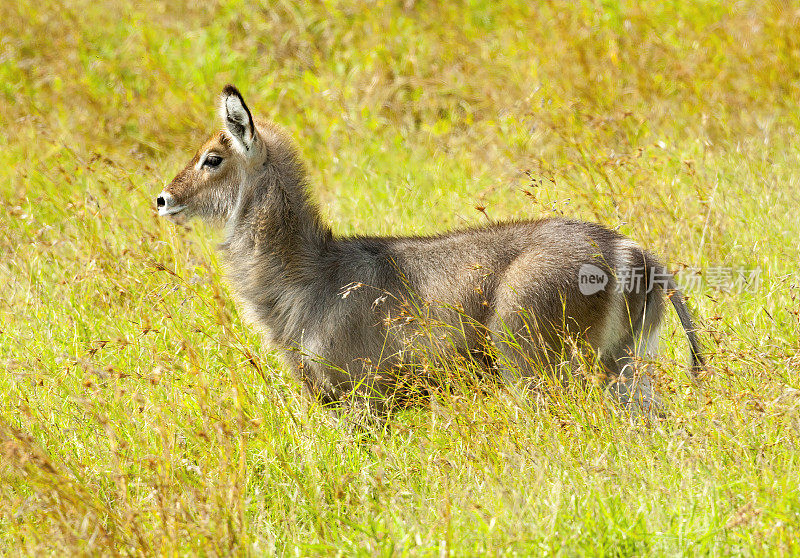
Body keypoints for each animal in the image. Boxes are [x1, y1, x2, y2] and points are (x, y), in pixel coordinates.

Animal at [155, 86, 700, 420]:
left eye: (212, 157)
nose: (161, 199)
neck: (308, 275)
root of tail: (632, 251)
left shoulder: (363, 397)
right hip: (625, 365)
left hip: (539, 367)